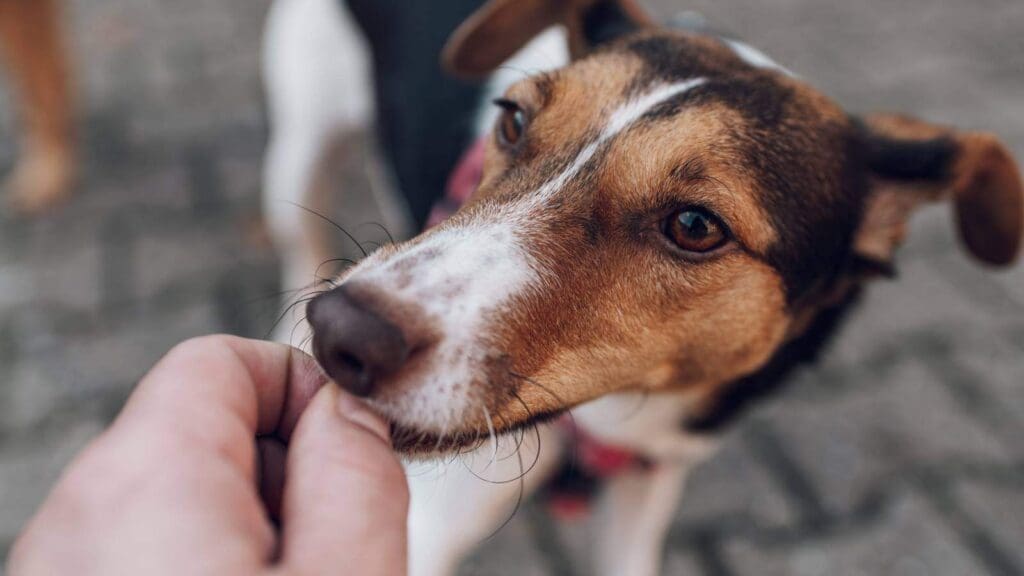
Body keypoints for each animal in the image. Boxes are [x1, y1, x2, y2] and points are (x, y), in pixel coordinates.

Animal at [260, 1, 1019, 573]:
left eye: (694, 225)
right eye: (512, 119)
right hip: (303, 146)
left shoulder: (651, 476)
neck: (624, 411)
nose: (342, 333)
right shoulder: (426, 526)